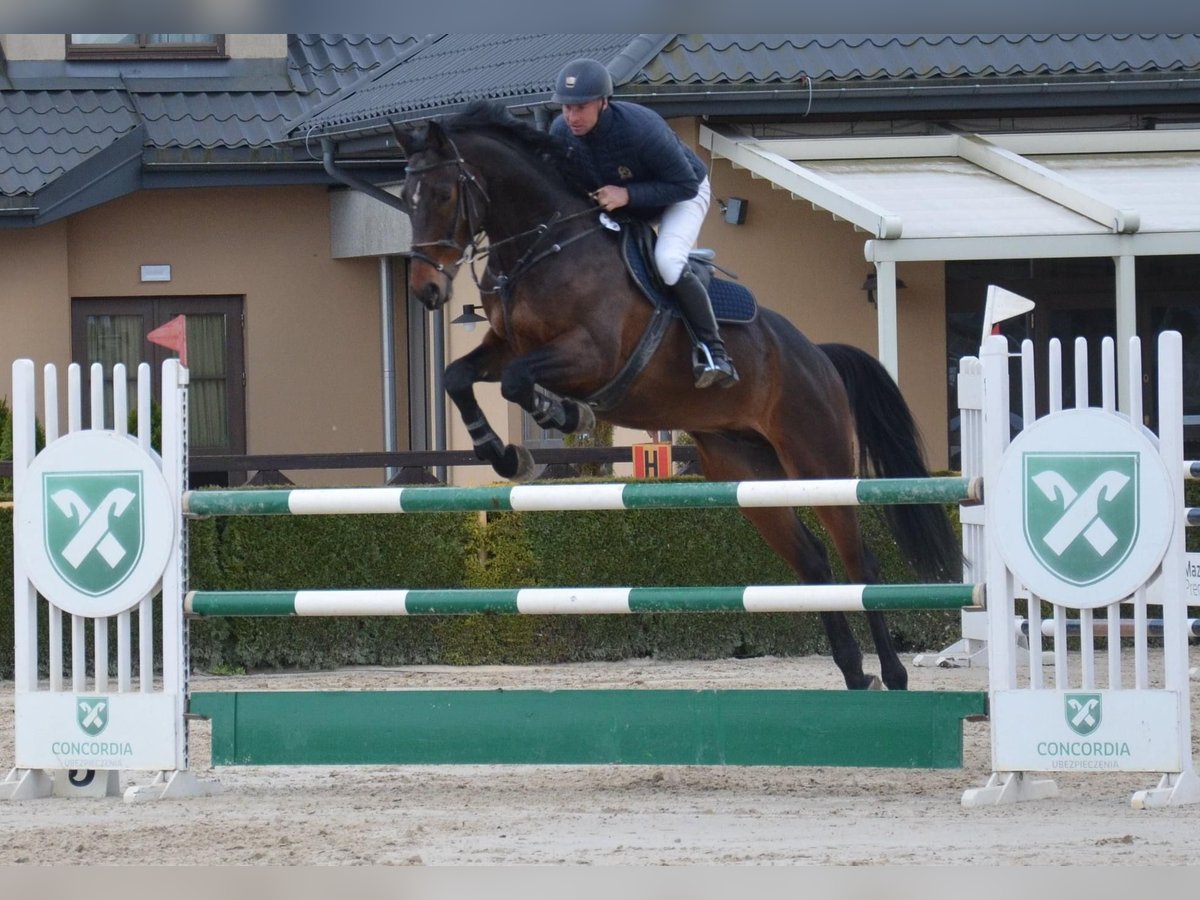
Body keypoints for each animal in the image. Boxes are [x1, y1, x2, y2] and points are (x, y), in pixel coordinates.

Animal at [393, 103, 955, 691]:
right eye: (405, 198)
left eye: (443, 194)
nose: (426, 290)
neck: (541, 246)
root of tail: (818, 356)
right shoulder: (504, 346)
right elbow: (458, 377)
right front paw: (501, 454)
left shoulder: (589, 355)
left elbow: (518, 382)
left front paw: (562, 413)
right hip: (746, 471)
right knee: (813, 561)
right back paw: (853, 673)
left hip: (818, 461)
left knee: (859, 564)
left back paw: (892, 674)